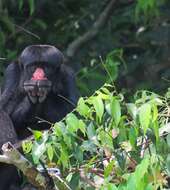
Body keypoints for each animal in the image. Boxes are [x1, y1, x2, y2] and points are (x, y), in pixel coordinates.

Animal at [0, 45, 77, 190]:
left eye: (45, 67)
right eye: (33, 66)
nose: (39, 75)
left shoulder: (68, 75)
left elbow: (73, 114)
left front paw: (44, 88)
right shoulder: (11, 72)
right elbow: (4, 108)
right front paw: (31, 92)